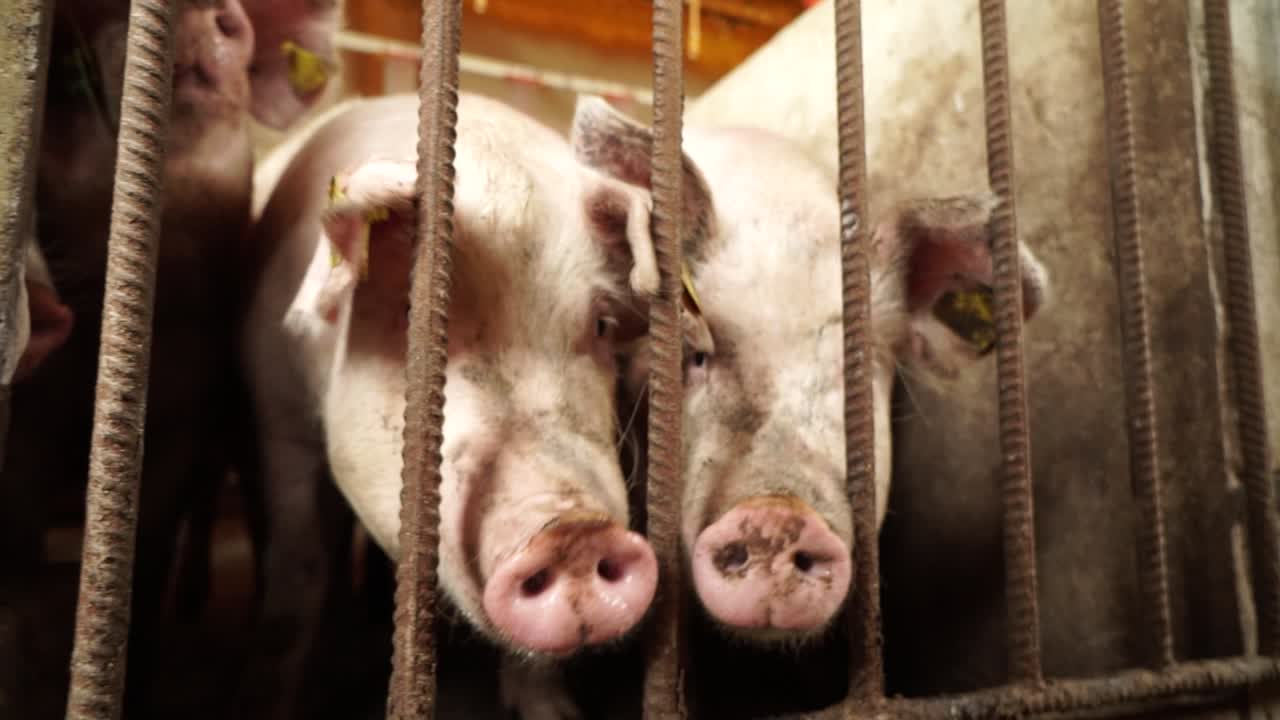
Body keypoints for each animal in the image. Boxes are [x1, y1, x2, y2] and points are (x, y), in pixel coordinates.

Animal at [0, 1, 338, 717]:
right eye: (66, 78)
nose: (201, 9)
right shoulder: (32, 421)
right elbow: (16, 541)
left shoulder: (189, 405)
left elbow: (151, 549)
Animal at [242, 91, 668, 720]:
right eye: (414, 320)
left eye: (601, 325)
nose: (575, 530)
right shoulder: (280, 416)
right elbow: (299, 576)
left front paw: (551, 712)